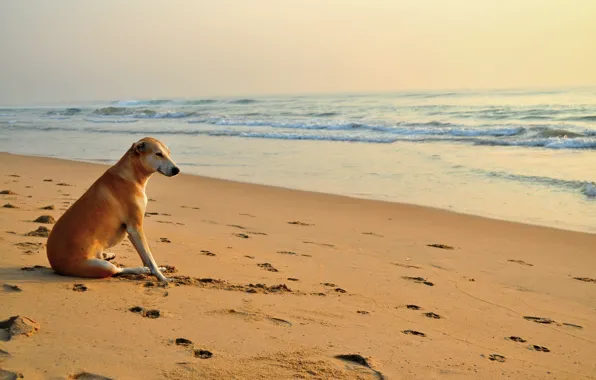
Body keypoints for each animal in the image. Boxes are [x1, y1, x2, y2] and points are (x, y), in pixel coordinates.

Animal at [46, 137, 179, 282]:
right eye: (158, 154)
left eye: (169, 153)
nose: (177, 170)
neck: (131, 174)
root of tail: (55, 264)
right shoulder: (135, 228)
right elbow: (150, 259)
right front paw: (161, 277)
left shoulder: (132, 232)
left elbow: (146, 257)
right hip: (101, 266)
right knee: (117, 270)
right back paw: (142, 269)